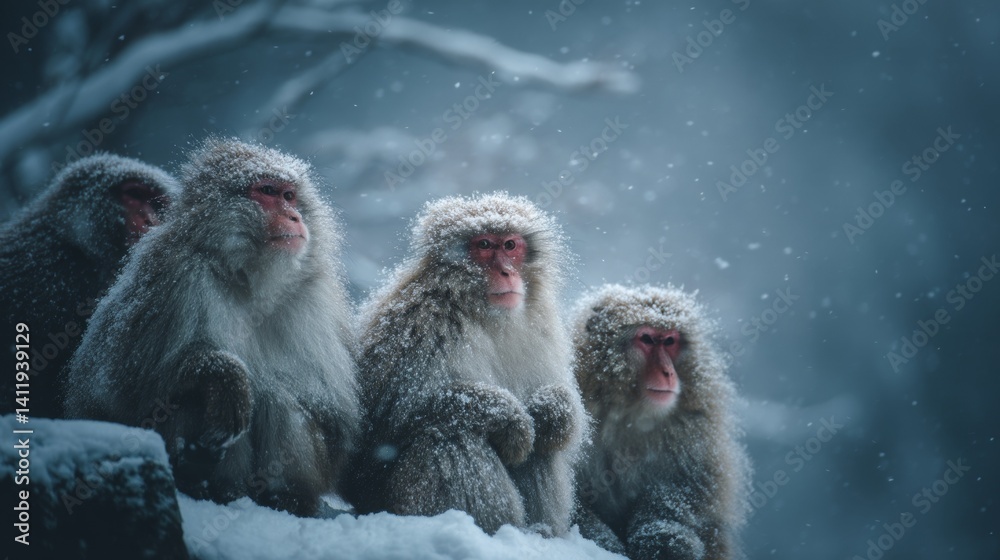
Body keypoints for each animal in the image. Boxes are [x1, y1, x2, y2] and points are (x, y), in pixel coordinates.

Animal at [64, 138, 359, 517]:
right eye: (267, 192)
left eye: (290, 196)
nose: (295, 216)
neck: (247, 279)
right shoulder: (173, 278)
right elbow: (123, 390)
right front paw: (225, 372)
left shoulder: (312, 299)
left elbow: (332, 413)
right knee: (204, 397)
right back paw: (213, 483)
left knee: (278, 400)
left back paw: (288, 498)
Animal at [345, 192, 585, 535]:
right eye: (484, 245)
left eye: (510, 245)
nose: (507, 272)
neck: (479, 310)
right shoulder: (421, 326)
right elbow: (390, 424)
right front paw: (509, 417)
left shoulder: (540, 326)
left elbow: (556, 409)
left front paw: (554, 408)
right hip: (390, 503)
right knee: (447, 436)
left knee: (542, 443)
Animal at [572, 284, 751, 560]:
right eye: (646, 339)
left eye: (669, 341)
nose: (668, 372)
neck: (630, 411)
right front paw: (603, 541)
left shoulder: (694, 422)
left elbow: (689, 485)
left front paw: (663, 540)